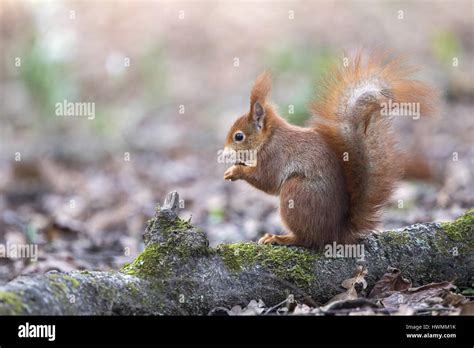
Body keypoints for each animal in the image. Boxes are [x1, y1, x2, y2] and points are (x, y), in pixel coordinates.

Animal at [224, 52, 436, 247]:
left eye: (239, 136)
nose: (225, 153)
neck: (269, 137)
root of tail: (337, 231)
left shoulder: (274, 155)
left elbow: (266, 180)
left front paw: (236, 171)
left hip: (296, 194)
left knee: (307, 239)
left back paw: (280, 238)